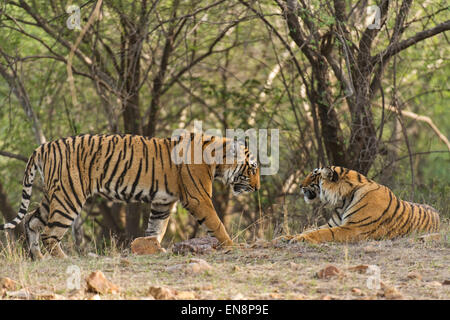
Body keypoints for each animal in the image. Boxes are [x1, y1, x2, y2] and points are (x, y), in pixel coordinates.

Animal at [0, 134, 260, 258]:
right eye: (252, 168)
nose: (257, 188)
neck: (217, 161)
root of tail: (43, 147)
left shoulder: (163, 202)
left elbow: (156, 228)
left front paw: (152, 247)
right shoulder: (198, 198)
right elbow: (216, 224)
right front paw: (232, 246)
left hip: (53, 195)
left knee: (31, 221)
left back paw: (39, 258)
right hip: (68, 197)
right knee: (49, 233)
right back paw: (64, 260)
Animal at [278, 166, 440, 244]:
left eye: (313, 174)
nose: (300, 185)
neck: (342, 200)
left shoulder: (354, 228)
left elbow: (320, 233)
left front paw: (298, 239)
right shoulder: (332, 224)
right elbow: (309, 229)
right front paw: (283, 238)